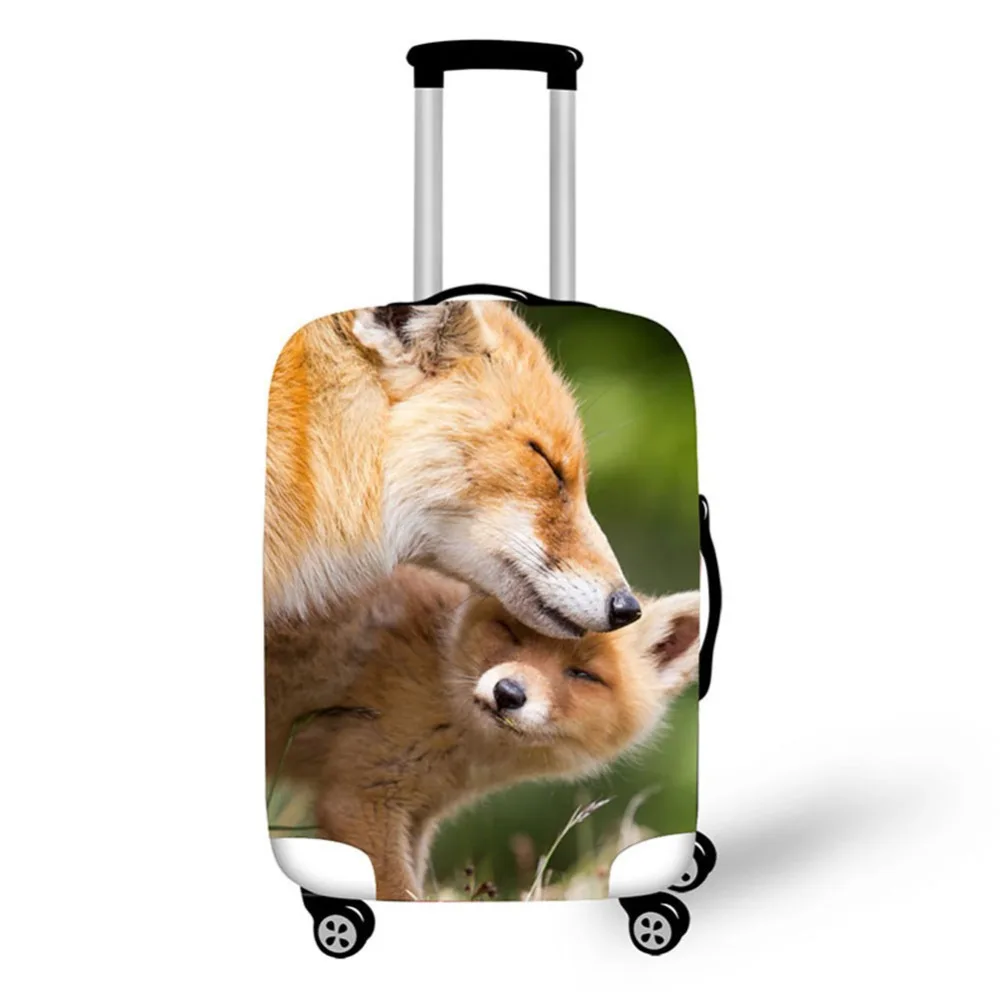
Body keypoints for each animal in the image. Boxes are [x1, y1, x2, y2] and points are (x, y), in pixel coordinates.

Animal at [266, 565, 700, 901]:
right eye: (512, 634)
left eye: (583, 674)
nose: (508, 693)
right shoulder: (360, 799)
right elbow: (399, 893)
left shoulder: (417, 814)